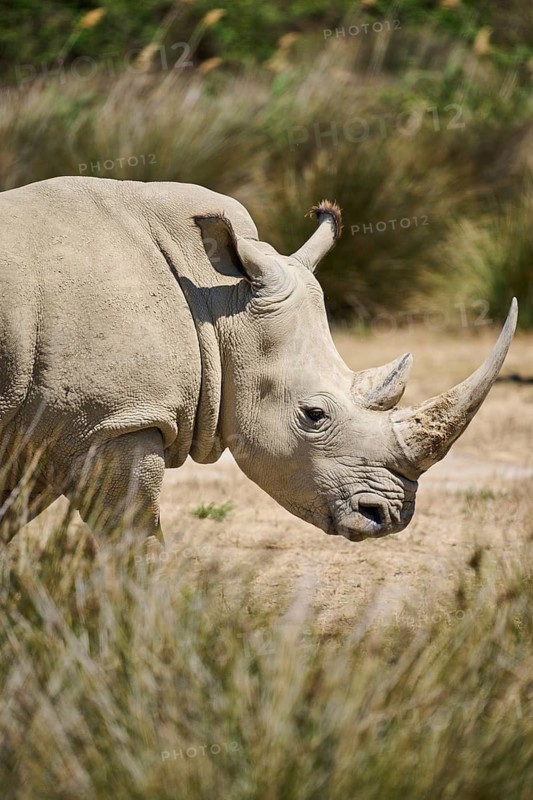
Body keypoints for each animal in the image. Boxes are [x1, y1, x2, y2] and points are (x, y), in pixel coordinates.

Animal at [0, 176, 517, 543]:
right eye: (314, 415)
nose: (392, 516)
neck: (215, 301)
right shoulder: (116, 420)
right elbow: (132, 541)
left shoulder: (50, 428)